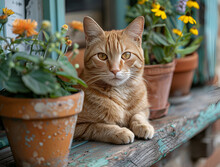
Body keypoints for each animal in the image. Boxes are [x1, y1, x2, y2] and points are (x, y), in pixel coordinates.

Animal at [74, 16, 155, 144]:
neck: (120, 92)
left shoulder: (144, 109)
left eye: (126, 55)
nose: (115, 70)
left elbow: (138, 116)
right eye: (102, 56)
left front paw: (143, 126)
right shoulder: (78, 126)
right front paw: (120, 132)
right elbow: (98, 126)